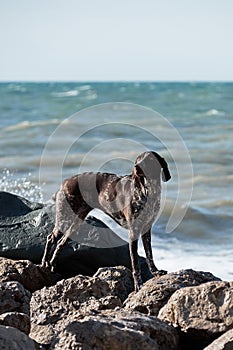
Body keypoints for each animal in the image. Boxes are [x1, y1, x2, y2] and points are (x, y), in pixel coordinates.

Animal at [41, 150, 171, 290]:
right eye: (137, 160)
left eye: (150, 159)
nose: (136, 167)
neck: (148, 191)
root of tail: (65, 182)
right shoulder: (133, 232)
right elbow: (136, 264)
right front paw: (138, 284)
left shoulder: (146, 230)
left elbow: (149, 255)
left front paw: (156, 272)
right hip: (65, 218)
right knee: (50, 238)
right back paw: (44, 263)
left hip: (77, 220)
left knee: (60, 243)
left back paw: (53, 264)